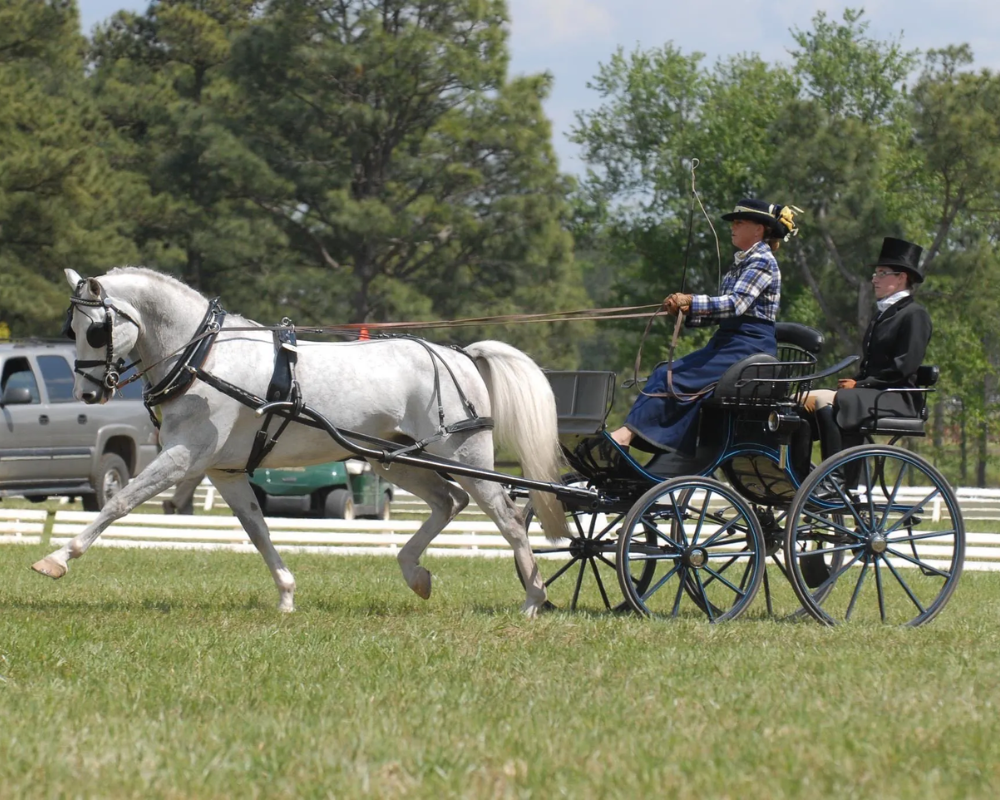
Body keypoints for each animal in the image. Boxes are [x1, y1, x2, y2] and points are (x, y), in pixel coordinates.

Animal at [35, 266, 568, 616]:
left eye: (96, 330)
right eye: (70, 328)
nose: (87, 393)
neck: (204, 357)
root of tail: (459, 354)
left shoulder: (184, 457)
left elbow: (119, 502)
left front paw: (57, 559)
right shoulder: (223, 471)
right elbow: (257, 530)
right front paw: (287, 594)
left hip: (463, 456)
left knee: (508, 519)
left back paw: (533, 599)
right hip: (393, 460)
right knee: (448, 501)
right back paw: (414, 573)